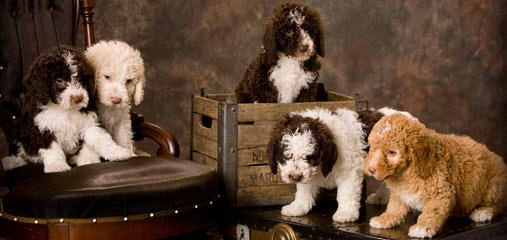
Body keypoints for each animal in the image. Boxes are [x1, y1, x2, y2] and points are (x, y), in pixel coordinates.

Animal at [0, 46, 135, 172]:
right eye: (59, 80)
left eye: (80, 79)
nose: (78, 98)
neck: (64, 109)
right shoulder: (42, 128)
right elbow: (51, 148)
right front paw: (56, 165)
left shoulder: (89, 121)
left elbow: (102, 138)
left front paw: (118, 152)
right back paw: (12, 162)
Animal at [368, 114, 506, 238]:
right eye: (372, 148)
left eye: (392, 152)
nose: (370, 169)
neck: (406, 174)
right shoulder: (400, 194)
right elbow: (394, 208)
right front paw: (384, 219)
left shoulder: (440, 193)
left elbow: (432, 212)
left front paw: (422, 227)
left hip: (493, 186)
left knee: (498, 204)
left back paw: (483, 212)